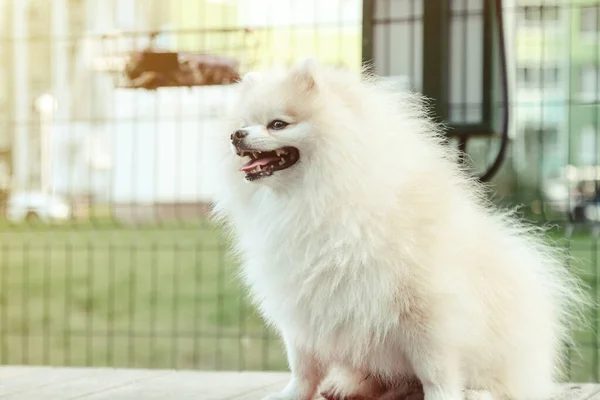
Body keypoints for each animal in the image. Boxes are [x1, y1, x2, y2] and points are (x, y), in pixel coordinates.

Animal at [209, 59, 588, 400]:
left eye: (277, 124)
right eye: (244, 124)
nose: (236, 135)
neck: (315, 198)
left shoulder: (426, 312)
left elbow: (436, 371)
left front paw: (445, 397)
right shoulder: (302, 305)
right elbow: (303, 365)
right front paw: (292, 394)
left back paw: (477, 392)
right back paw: (350, 386)